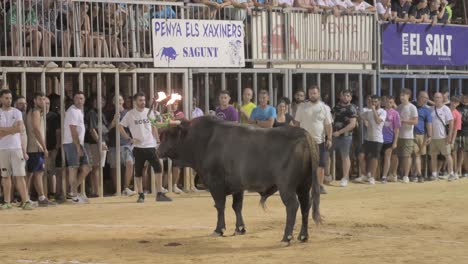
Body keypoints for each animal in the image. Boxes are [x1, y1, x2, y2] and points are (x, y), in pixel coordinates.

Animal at [157, 116, 322, 244]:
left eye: (168, 136)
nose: (157, 151)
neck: (204, 140)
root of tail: (303, 134)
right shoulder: (238, 186)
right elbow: (237, 206)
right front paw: (240, 228)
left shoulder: (215, 183)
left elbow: (220, 206)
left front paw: (219, 229)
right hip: (304, 185)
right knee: (305, 206)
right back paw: (303, 236)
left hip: (286, 186)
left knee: (292, 206)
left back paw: (286, 238)